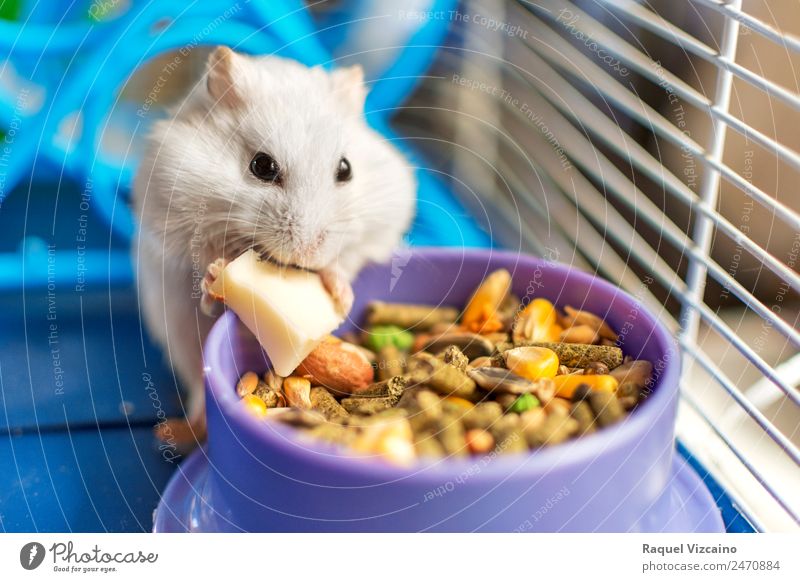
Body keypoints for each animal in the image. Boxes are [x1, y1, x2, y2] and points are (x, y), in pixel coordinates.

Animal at [131, 48, 416, 444]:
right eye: (261, 166)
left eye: (346, 169)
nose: (306, 253)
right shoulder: (172, 217)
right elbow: (202, 260)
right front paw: (216, 275)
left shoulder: (380, 226)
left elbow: (344, 262)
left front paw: (341, 297)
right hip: (178, 329)